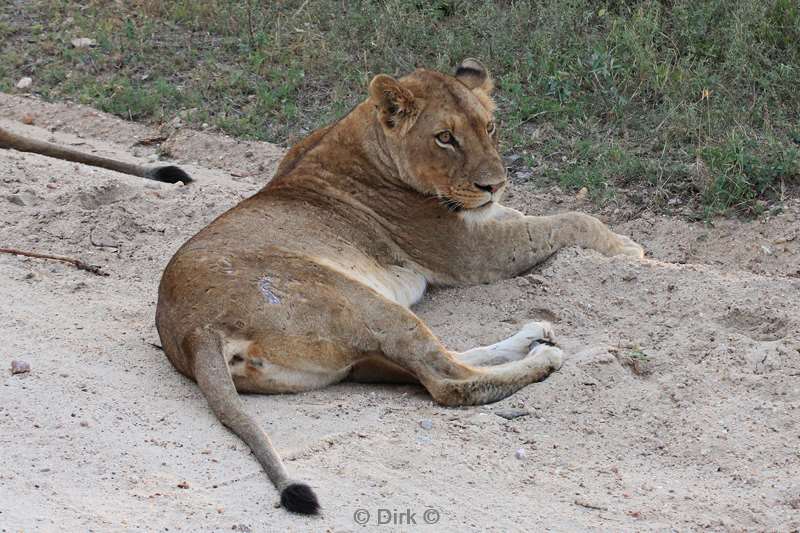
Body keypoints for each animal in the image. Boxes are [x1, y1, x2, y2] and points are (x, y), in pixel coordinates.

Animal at [155, 60, 644, 512]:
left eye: (489, 127)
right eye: (445, 138)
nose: (495, 185)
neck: (361, 135)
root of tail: (194, 331)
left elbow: (532, 216)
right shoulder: (472, 251)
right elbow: (568, 221)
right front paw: (630, 249)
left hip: (357, 358)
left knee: (442, 360)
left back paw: (534, 335)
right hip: (360, 301)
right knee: (450, 381)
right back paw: (544, 357)